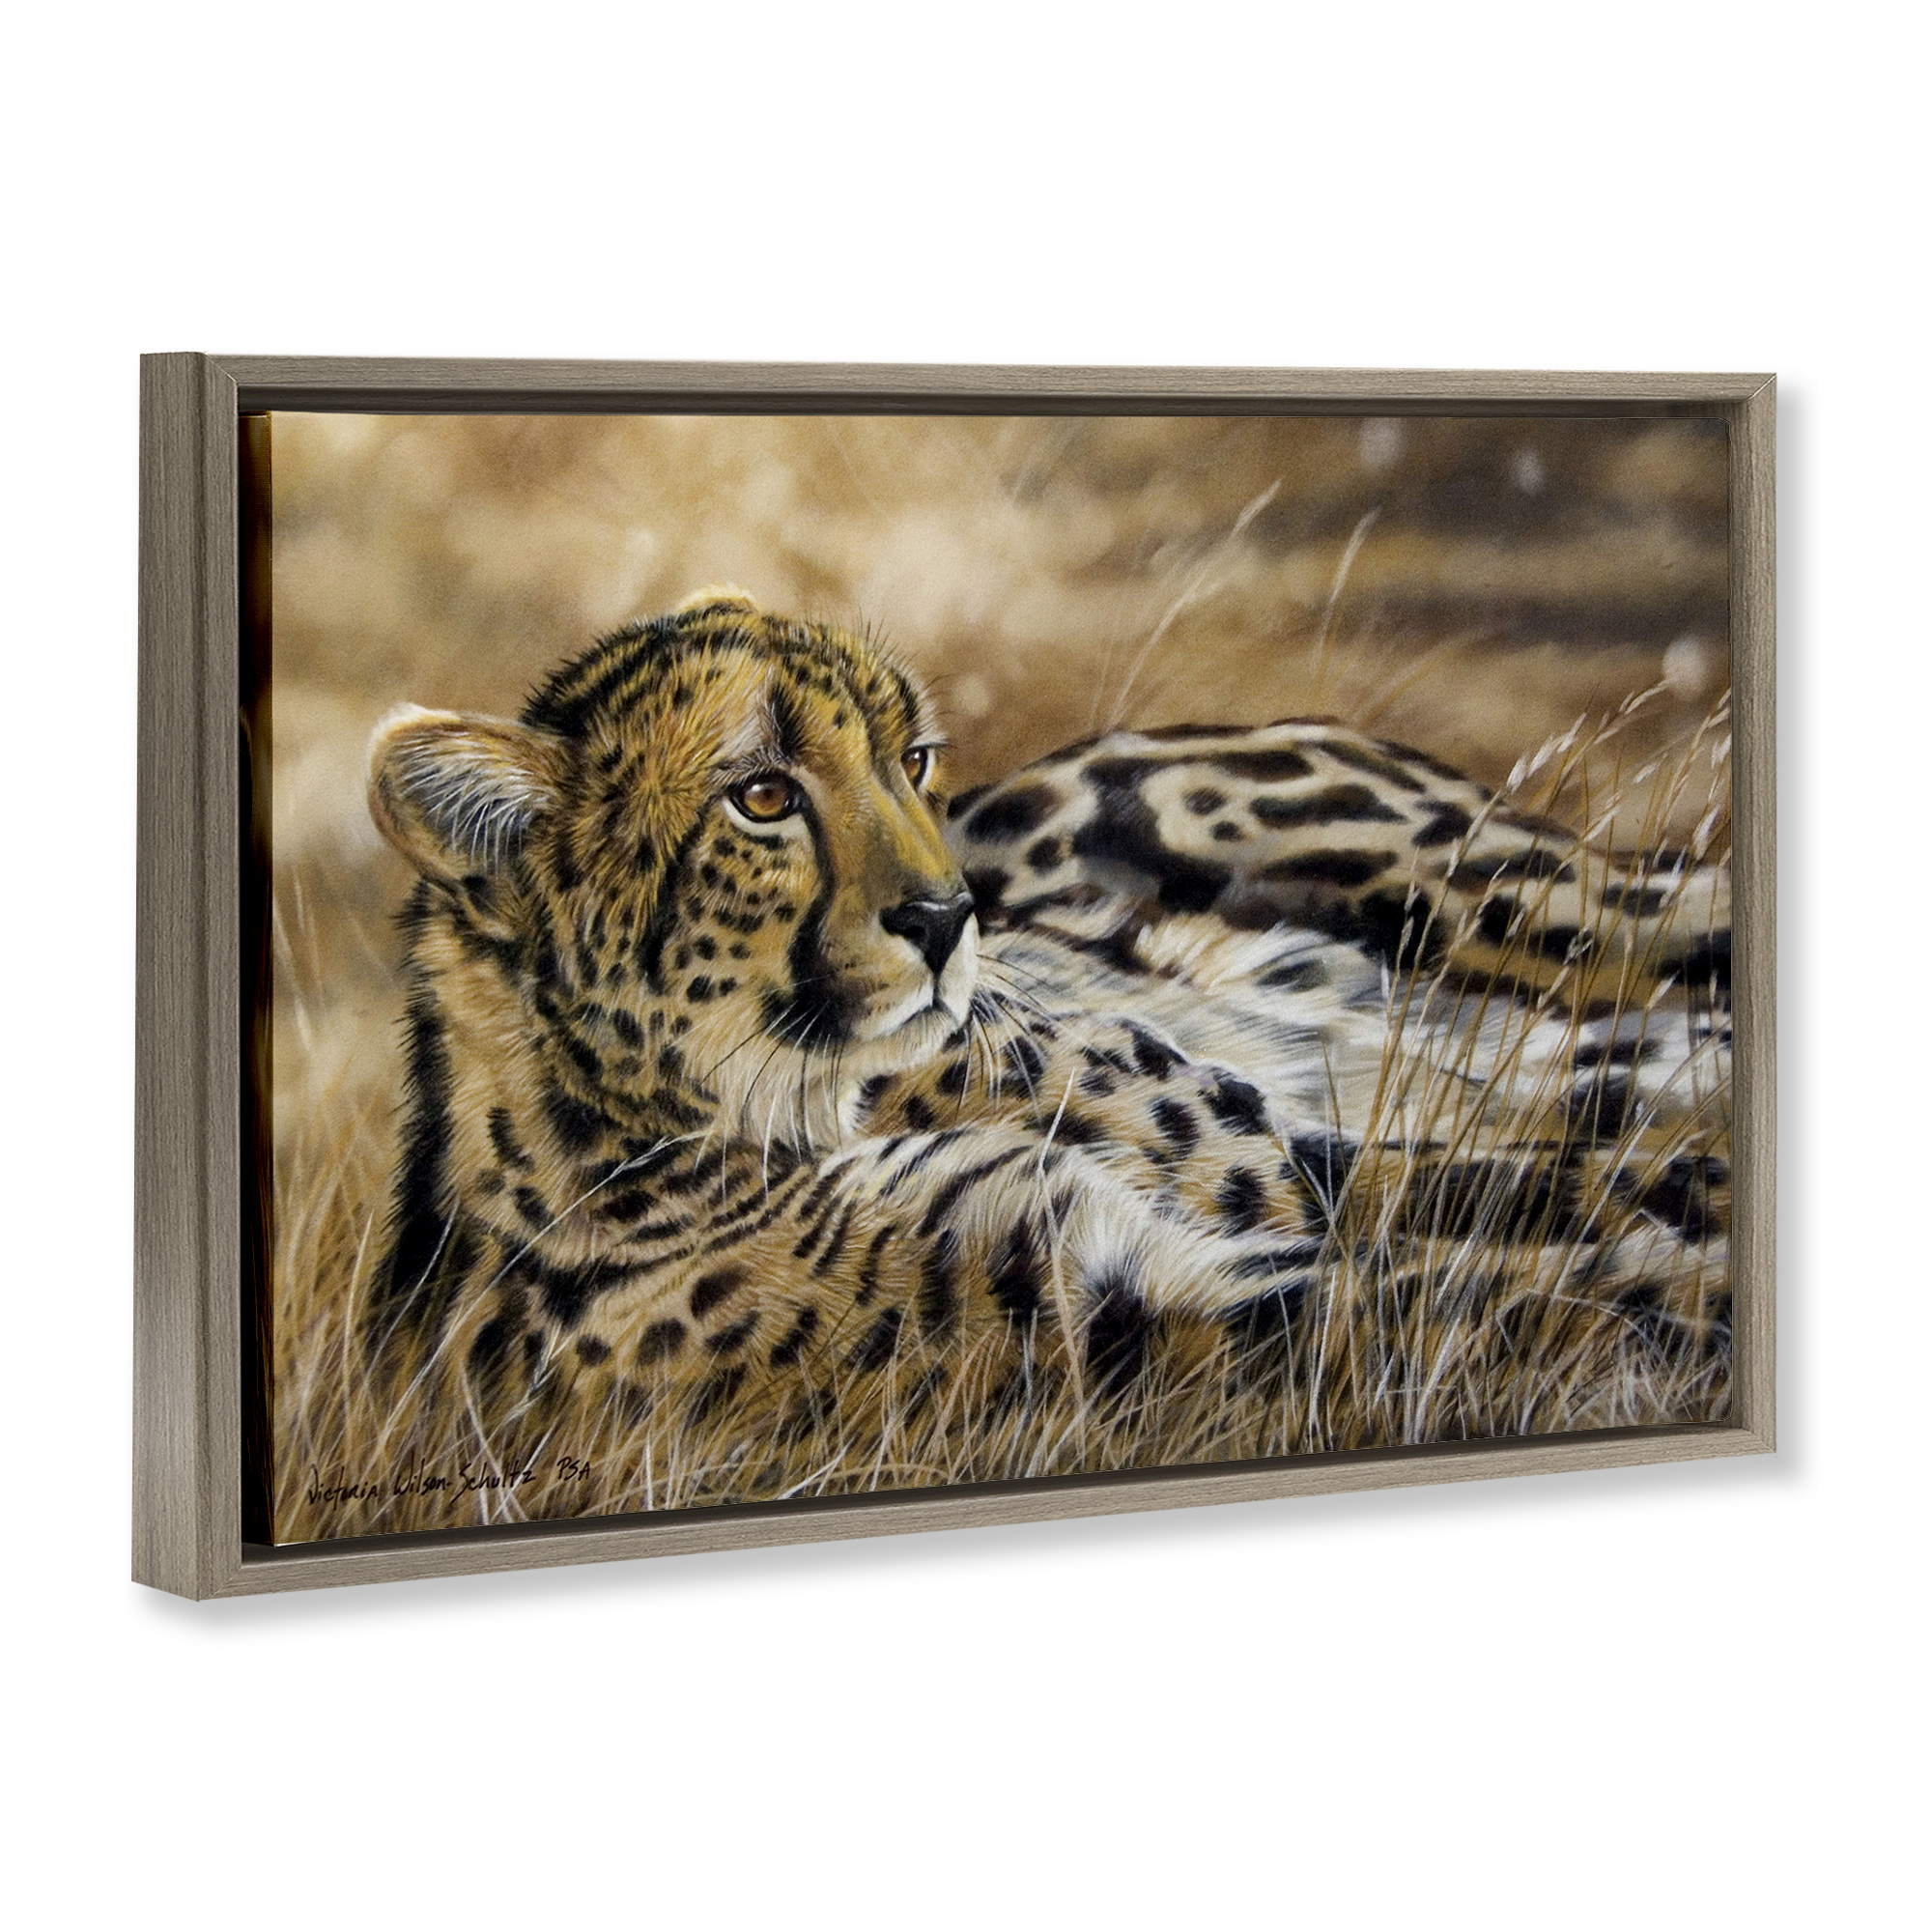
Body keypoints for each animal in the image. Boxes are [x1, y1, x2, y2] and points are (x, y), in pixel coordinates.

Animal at [361, 587, 1733, 1488]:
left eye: (911, 759)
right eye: (760, 795)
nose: (947, 912)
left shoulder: (1262, 1170)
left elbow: (1556, 1198)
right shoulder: (1134, 1300)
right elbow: (1507, 1280)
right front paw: (1694, 1280)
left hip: (1516, 903)